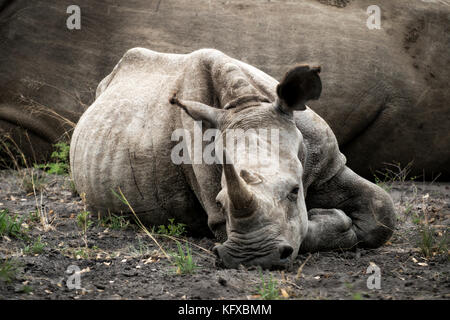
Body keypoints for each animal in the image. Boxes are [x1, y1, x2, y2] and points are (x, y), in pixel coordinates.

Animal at [69, 47, 394, 268]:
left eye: (294, 191)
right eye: (221, 201)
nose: (251, 258)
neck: (246, 104)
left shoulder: (329, 165)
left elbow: (382, 211)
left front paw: (323, 217)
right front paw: (324, 219)